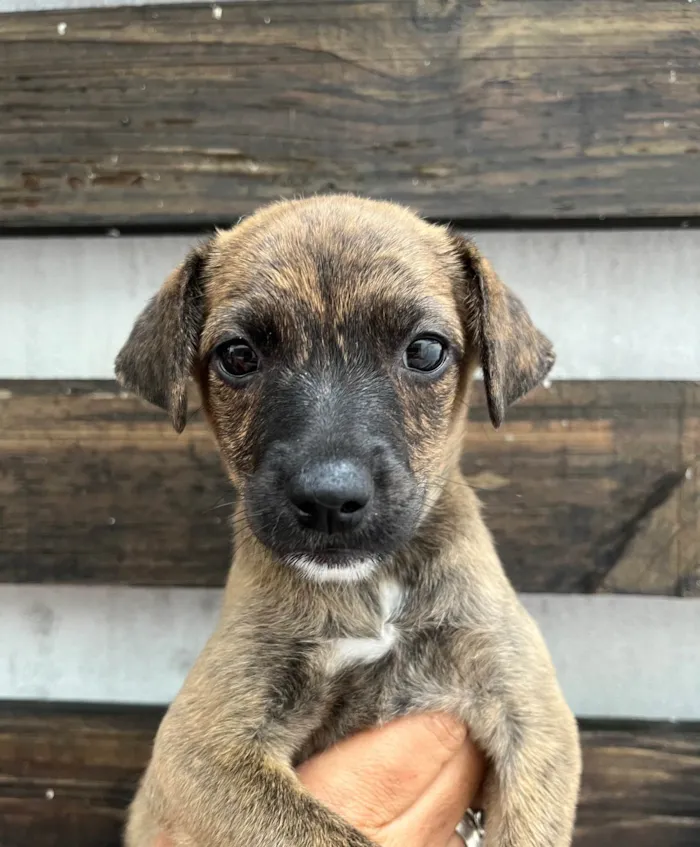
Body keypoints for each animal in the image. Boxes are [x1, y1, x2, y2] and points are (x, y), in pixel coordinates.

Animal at [117, 195, 584, 847]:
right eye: (238, 355)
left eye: (425, 350)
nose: (329, 499)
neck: (371, 588)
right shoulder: (201, 751)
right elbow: (323, 832)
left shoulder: (534, 716)